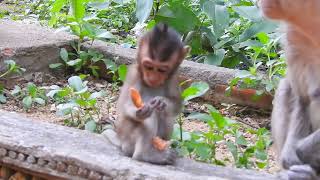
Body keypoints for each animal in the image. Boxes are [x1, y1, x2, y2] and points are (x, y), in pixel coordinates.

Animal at [112, 22, 189, 165]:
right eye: (148, 66)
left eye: (162, 70)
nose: (153, 78)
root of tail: (120, 140)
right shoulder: (134, 74)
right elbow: (125, 104)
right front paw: (140, 112)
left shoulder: (174, 77)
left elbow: (177, 104)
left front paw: (162, 101)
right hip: (126, 135)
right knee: (150, 118)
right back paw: (145, 155)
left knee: (165, 115)